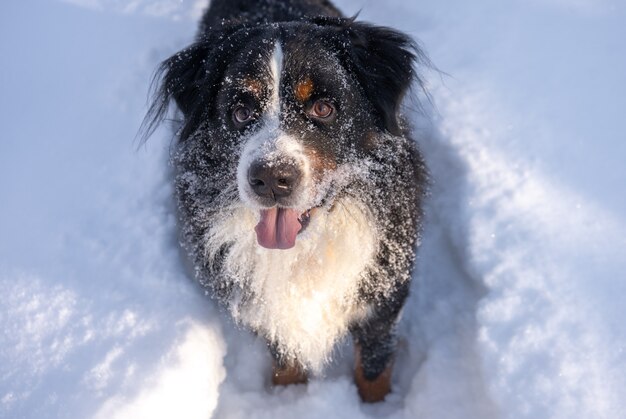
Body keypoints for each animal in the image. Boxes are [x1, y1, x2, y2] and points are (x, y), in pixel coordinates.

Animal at [143, 0, 426, 404]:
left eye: (323, 108)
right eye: (240, 112)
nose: (271, 180)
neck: (307, 250)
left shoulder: (385, 295)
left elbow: (374, 369)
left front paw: (377, 407)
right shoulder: (266, 309)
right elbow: (286, 360)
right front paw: (288, 401)